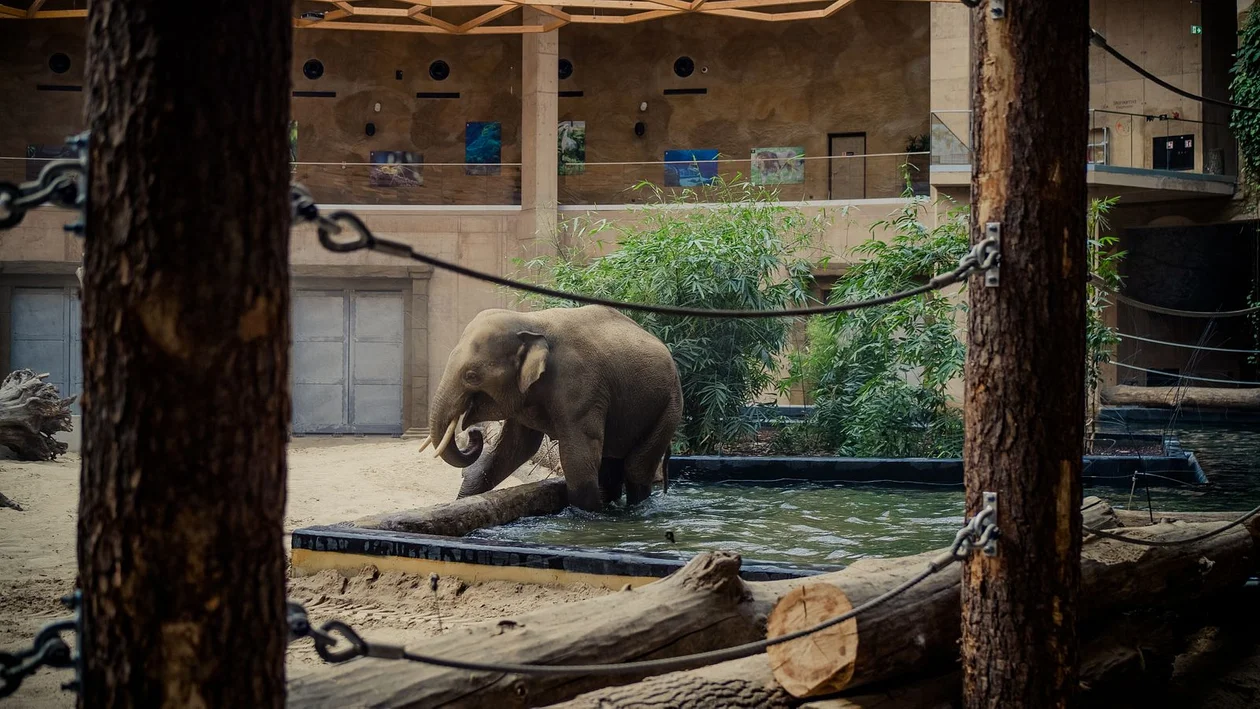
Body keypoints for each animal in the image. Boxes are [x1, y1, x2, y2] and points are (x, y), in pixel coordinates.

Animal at [420, 304, 680, 511]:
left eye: (471, 376)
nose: (475, 434)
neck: (530, 322)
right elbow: (514, 448)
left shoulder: (580, 386)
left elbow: (577, 458)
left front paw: (589, 518)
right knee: (611, 465)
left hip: (669, 406)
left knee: (636, 468)